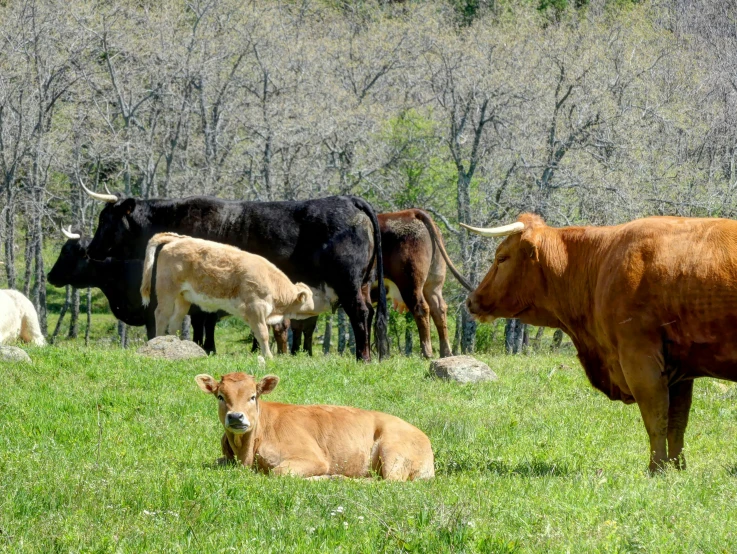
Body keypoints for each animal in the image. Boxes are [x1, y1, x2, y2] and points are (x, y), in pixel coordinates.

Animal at [142, 231, 318, 356]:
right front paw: (269, 357)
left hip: (182, 297)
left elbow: (258, 334)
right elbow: (263, 334)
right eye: (310, 297)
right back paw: (159, 340)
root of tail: (177, 240)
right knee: (161, 315)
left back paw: (175, 343)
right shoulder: (256, 309)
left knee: (175, 321)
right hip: (167, 292)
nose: (318, 307)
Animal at [197, 370, 436, 478]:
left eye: (253, 396)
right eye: (220, 396)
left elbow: (277, 472)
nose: (236, 417)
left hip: (392, 451)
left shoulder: (312, 458)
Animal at [462, 211, 736, 470]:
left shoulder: (639, 358)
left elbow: (656, 420)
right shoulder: (678, 369)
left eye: (501, 258)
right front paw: (678, 469)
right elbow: (677, 424)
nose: (471, 300)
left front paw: (656, 469)